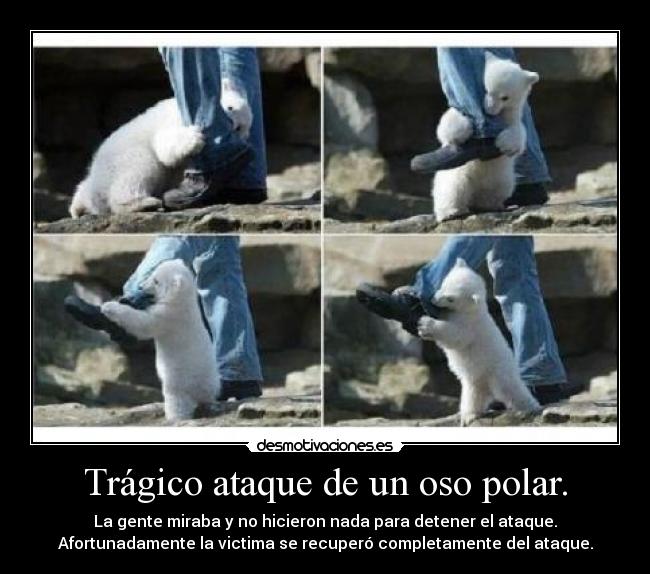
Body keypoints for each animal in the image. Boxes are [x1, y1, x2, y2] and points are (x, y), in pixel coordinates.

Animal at [101, 259, 221, 421]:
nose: (141, 286)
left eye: (156, 281)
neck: (182, 301)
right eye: (153, 274)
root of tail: (203, 390)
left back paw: (174, 417)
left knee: (176, 399)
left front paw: (109, 306)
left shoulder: (168, 316)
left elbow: (143, 323)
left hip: (180, 379)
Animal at [416, 258, 541, 426]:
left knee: (511, 389)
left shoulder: (471, 326)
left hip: (498, 371)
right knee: (473, 395)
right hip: (477, 379)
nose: (434, 299)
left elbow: (455, 335)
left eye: (451, 298)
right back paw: (468, 415)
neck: (471, 310)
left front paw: (425, 323)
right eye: (444, 283)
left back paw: (532, 406)